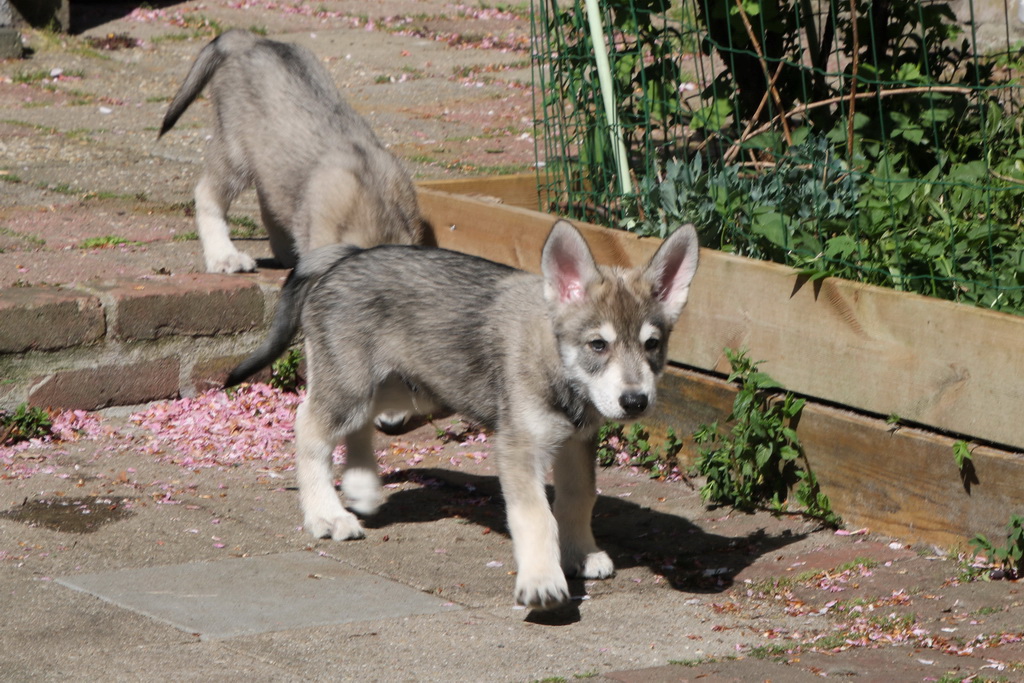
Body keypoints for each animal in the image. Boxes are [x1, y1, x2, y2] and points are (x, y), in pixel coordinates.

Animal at [226, 220, 699, 609]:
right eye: (598, 345)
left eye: (652, 344)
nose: (635, 401)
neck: (558, 367)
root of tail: (348, 256)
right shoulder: (519, 448)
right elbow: (536, 516)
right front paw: (542, 579)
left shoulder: (577, 441)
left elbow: (578, 497)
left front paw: (580, 552)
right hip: (354, 384)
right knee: (309, 425)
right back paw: (326, 514)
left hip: (405, 388)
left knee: (360, 423)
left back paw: (362, 488)